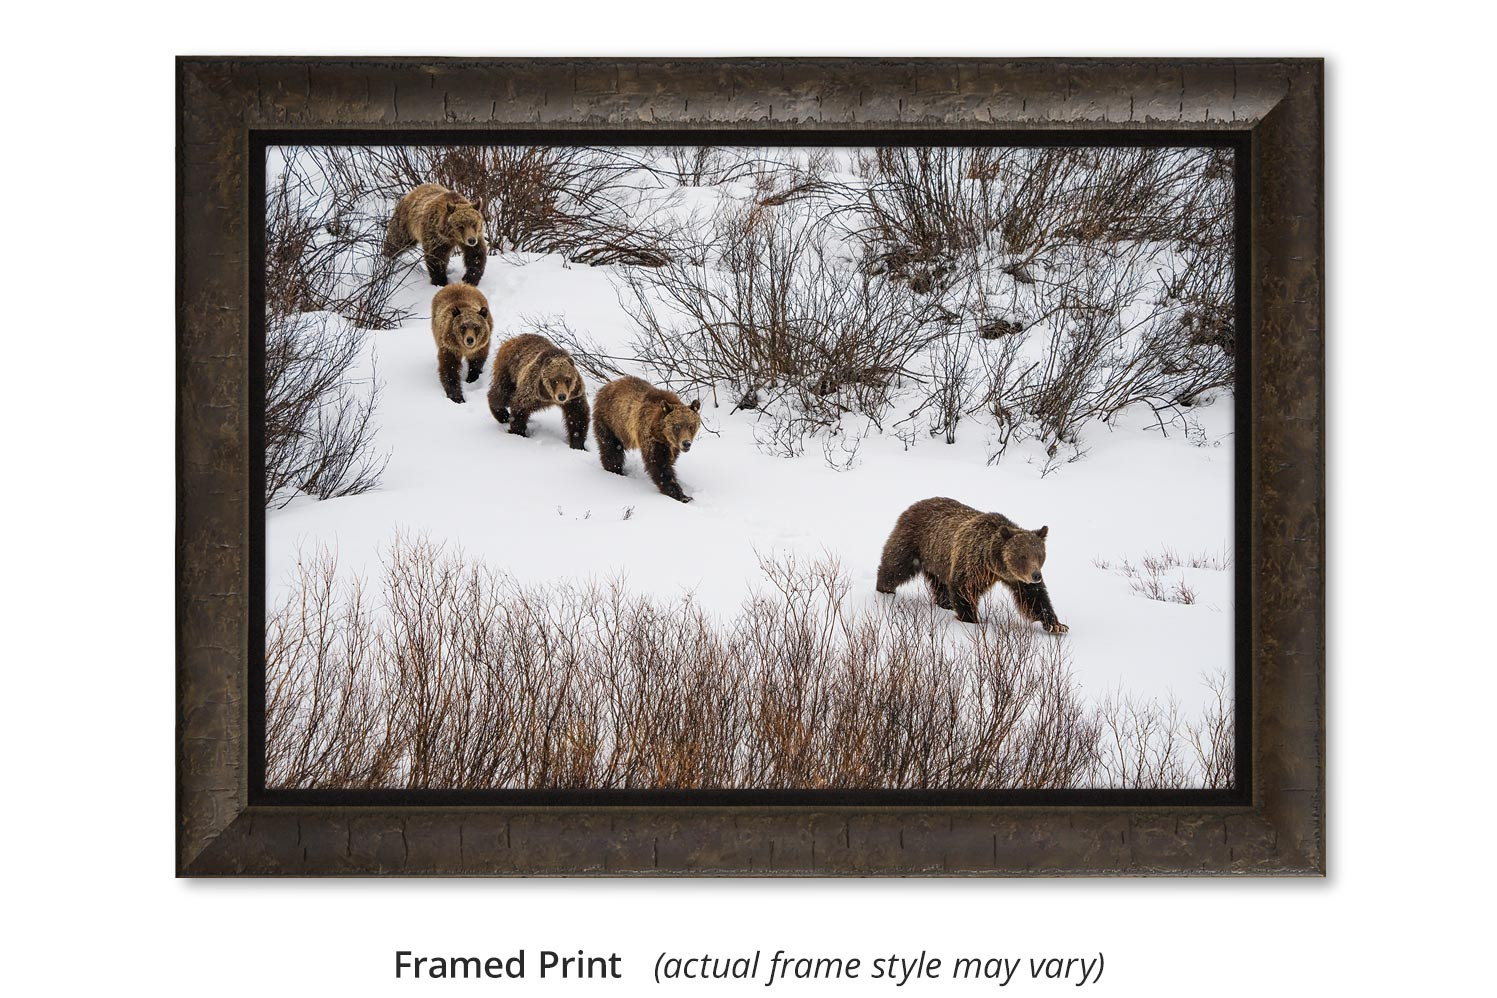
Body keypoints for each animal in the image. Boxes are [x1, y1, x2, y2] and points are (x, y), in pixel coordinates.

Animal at [875, 496, 1067, 632]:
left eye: (1040, 555)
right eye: (1023, 556)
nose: (1036, 575)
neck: (994, 563)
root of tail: (915, 504)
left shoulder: (1016, 578)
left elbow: (1034, 598)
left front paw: (1056, 624)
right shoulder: (972, 562)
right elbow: (964, 587)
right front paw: (971, 619)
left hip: (939, 559)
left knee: (940, 584)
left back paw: (945, 603)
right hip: (914, 542)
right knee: (896, 566)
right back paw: (885, 589)